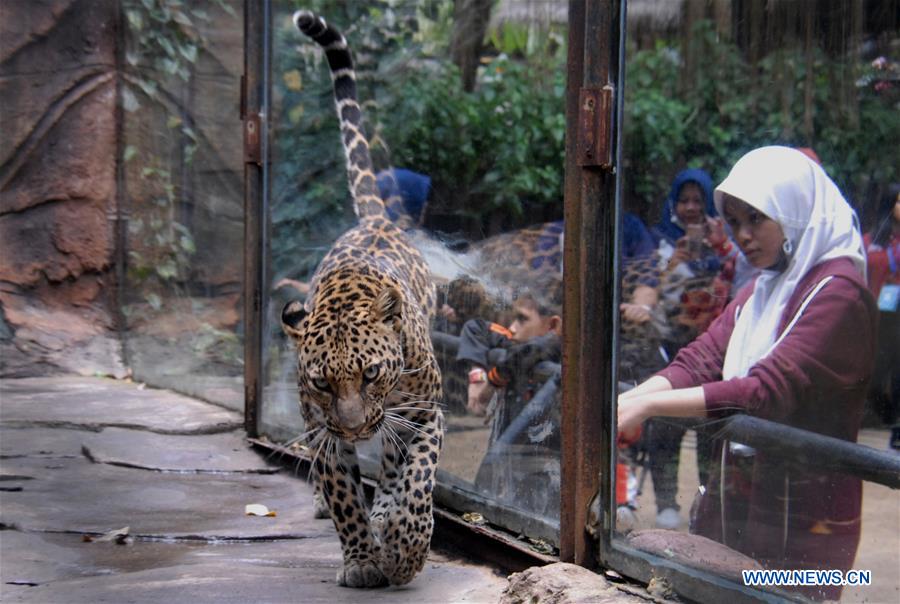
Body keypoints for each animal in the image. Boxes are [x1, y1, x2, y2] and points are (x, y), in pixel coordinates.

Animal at [280, 10, 444, 588]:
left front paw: (406, 548)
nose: (355, 426)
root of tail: (376, 220)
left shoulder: (425, 414)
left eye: (371, 373)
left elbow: (416, 483)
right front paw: (362, 560)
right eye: (323, 382)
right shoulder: (321, 427)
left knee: (395, 468)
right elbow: (345, 496)